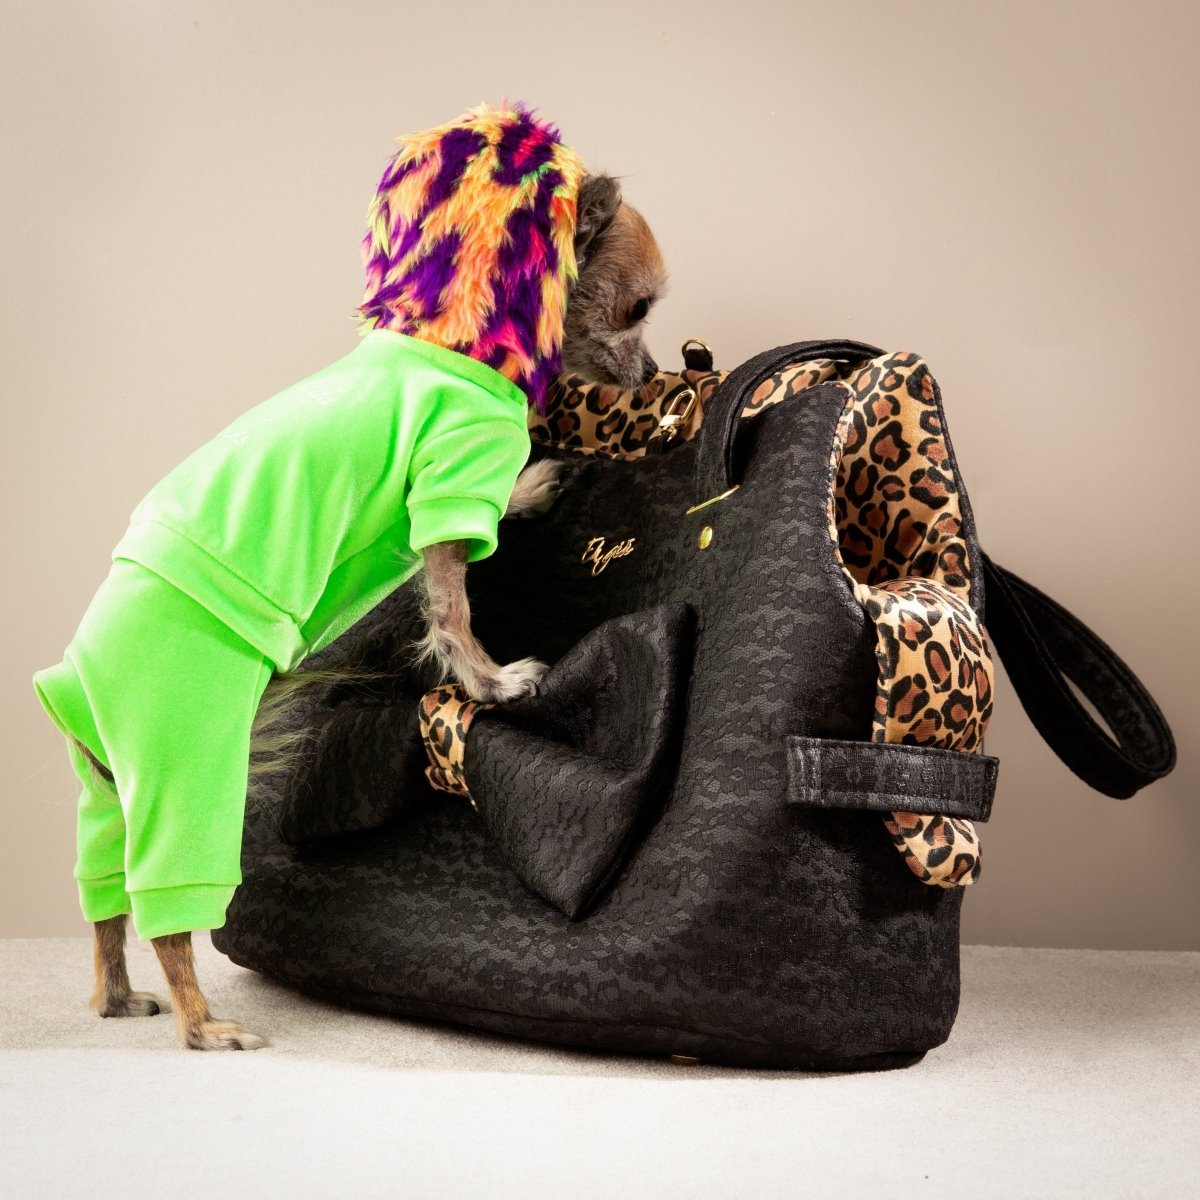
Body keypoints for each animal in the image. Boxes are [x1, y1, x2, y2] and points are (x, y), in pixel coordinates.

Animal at [54, 105, 667, 1050]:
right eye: (638, 308)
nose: (660, 373)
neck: (456, 340)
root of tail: (75, 684)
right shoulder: (447, 486)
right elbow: (454, 613)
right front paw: (494, 682)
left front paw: (531, 487)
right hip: (184, 759)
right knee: (166, 911)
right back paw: (204, 1025)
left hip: (108, 796)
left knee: (104, 907)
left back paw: (116, 997)